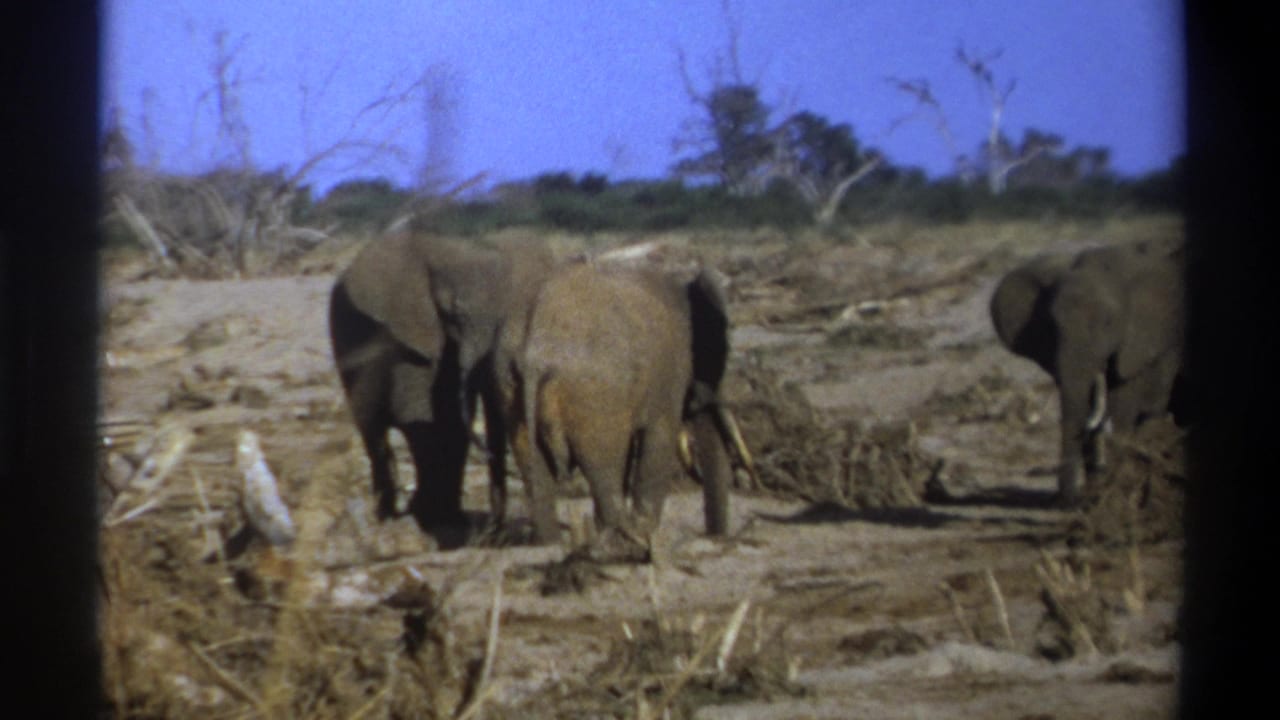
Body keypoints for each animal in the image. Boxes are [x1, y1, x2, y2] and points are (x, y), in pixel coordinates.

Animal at [328, 231, 555, 543]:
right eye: (455, 314)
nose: (494, 530)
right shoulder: (407, 339)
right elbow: (426, 420)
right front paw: (433, 520)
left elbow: (450, 421)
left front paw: (445, 521)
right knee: (372, 428)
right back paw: (389, 515)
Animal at [494, 260, 752, 555]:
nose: (717, 537)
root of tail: (534, 351)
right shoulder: (669, 374)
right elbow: (659, 439)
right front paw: (646, 531)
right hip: (593, 394)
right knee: (602, 466)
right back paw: (627, 540)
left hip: (509, 384)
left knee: (535, 467)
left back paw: (554, 543)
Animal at [989, 237, 1187, 506]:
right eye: (1052, 324)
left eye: (1108, 323)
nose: (1069, 500)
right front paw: (1096, 492)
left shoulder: (1152, 337)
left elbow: (1124, 398)